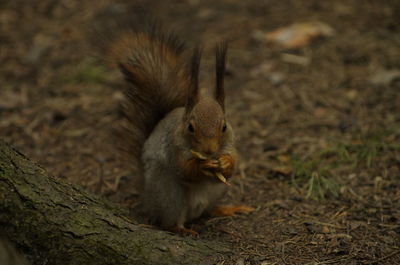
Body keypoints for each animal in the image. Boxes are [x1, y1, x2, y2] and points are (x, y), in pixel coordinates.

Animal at [110, 26, 253, 233]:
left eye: (224, 126)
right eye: (190, 127)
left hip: (219, 190)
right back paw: (183, 229)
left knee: (208, 210)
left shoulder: (230, 145)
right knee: (169, 222)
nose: (209, 151)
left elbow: (231, 168)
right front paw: (202, 165)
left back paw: (227, 209)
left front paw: (225, 163)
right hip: (169, 194)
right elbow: (184, 169)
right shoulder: (173, 148)